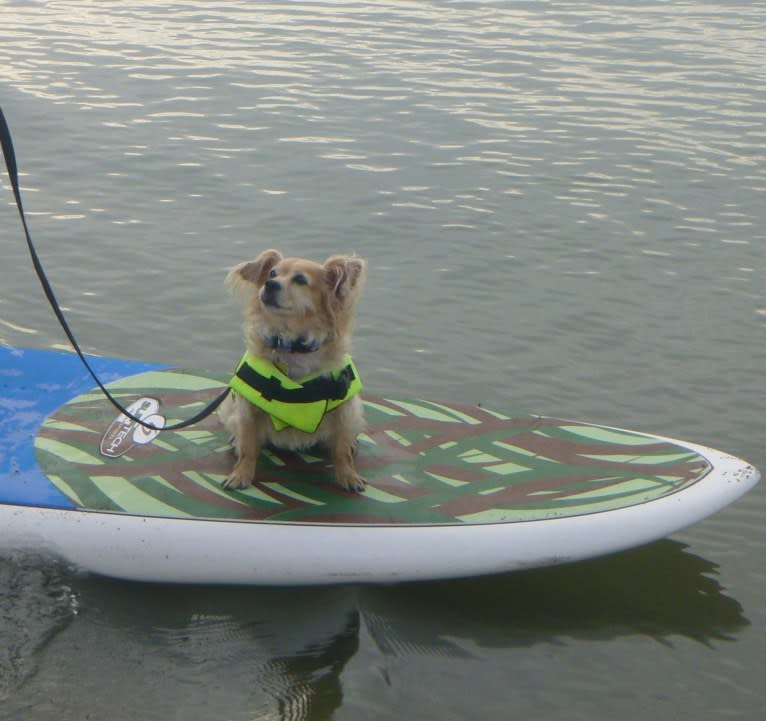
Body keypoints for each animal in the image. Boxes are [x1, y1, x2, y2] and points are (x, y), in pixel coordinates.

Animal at [219, 250, 368, 492]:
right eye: (272, 273)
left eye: (300, 280)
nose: (269, 284)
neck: (291, 343)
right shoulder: (247, 409)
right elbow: (249, 446)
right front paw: (241, 473)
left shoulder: (344, 410)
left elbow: (341, 450)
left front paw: (348, 475)